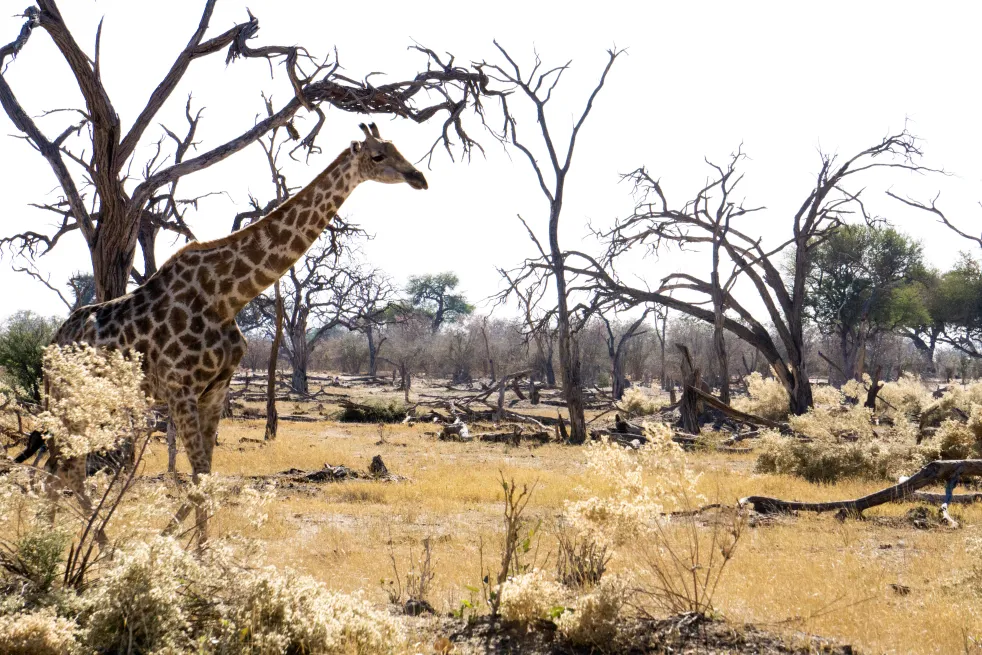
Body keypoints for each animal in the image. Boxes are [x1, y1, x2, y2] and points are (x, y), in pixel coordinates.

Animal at [47, 123, 426, 544]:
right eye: (378, 155)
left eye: (398, 148)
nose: (418, 177)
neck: (228, 296)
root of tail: (53, 342)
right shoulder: (181, 390)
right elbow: (198, 476)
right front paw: (178, 545)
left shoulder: (215, 391)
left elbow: (205, 478)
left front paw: (191, 547)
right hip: (71, 400)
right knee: (64, 468)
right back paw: (79, 544)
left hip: (96, 403)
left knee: (59, 468)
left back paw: (70, 542)